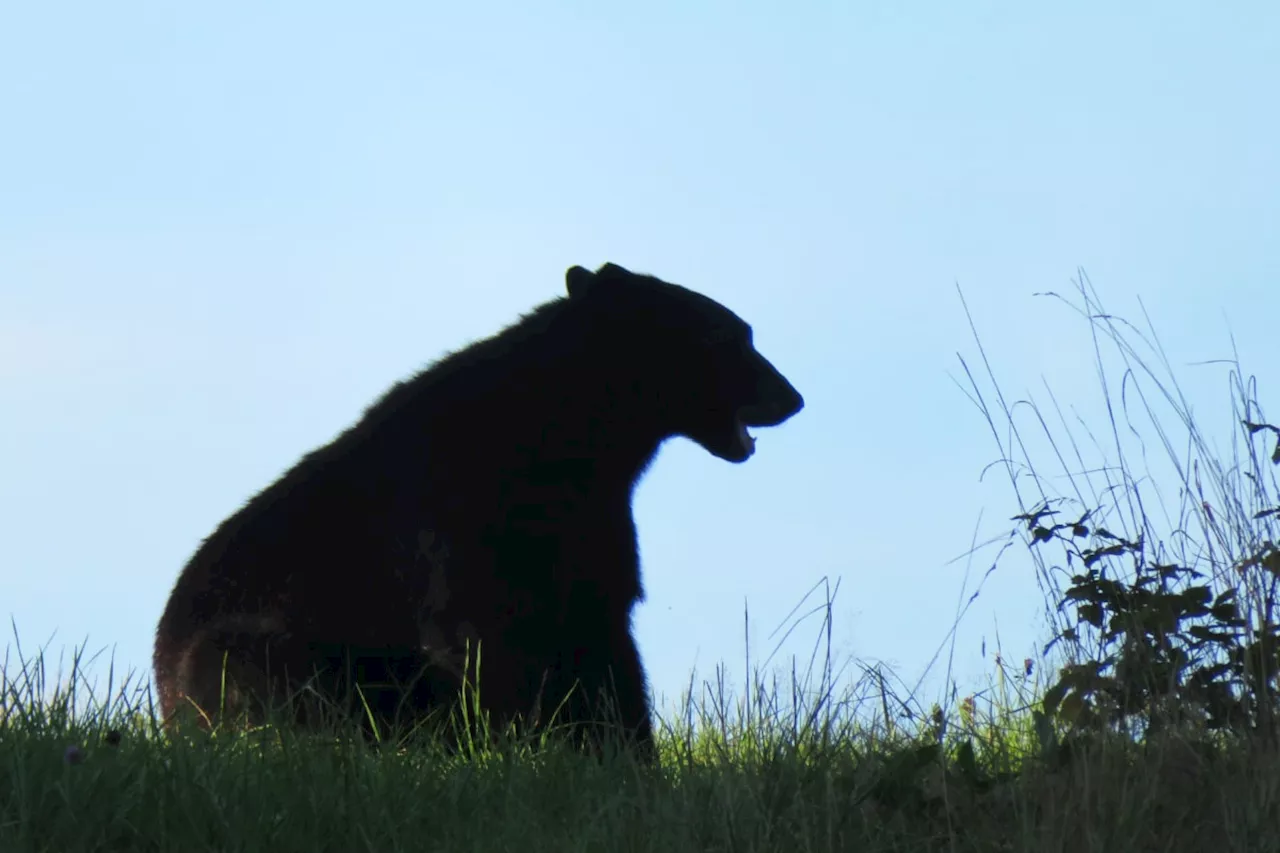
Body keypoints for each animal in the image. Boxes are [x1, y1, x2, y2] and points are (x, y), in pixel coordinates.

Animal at [152, 258, 798, 758]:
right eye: (728, 336)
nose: (792, 398)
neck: (569, 437)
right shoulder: (459, 515)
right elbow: (484, 634)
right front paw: (519, 751)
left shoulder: (592, 526)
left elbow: (606, 641)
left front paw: (630, 760)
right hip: (262, 649)